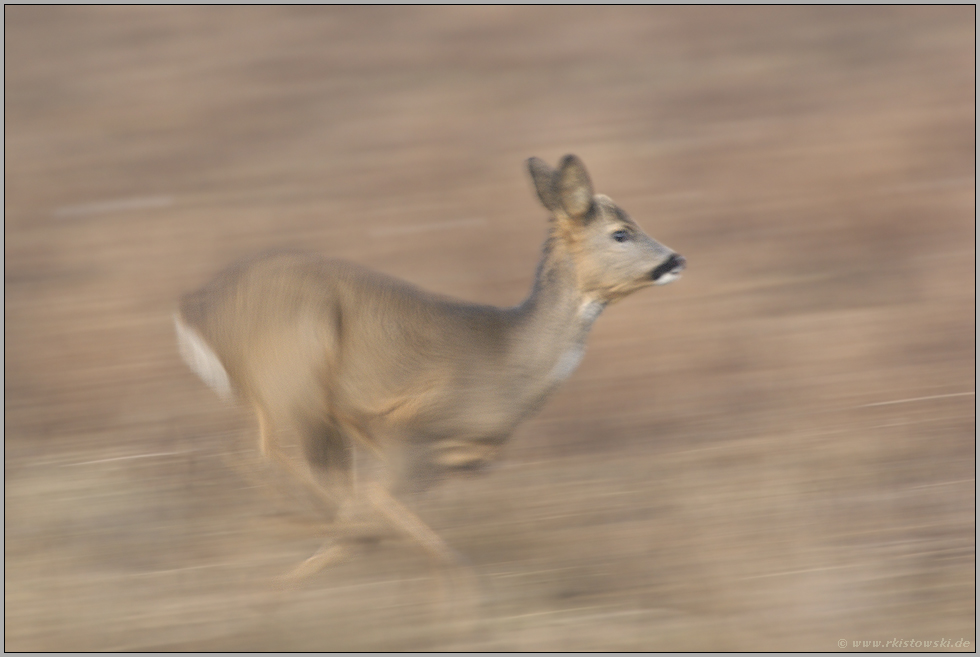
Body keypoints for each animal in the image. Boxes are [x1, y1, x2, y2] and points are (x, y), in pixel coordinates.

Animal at [174, 156, 680, 576]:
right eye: (621, 232)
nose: (676, 259)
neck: (509, 360)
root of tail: (197, 310)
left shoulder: (433, 454)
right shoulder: (407, 426)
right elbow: (401, 518)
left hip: (286, 396)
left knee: (254, 451)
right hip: (296, 373)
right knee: (263, 452)